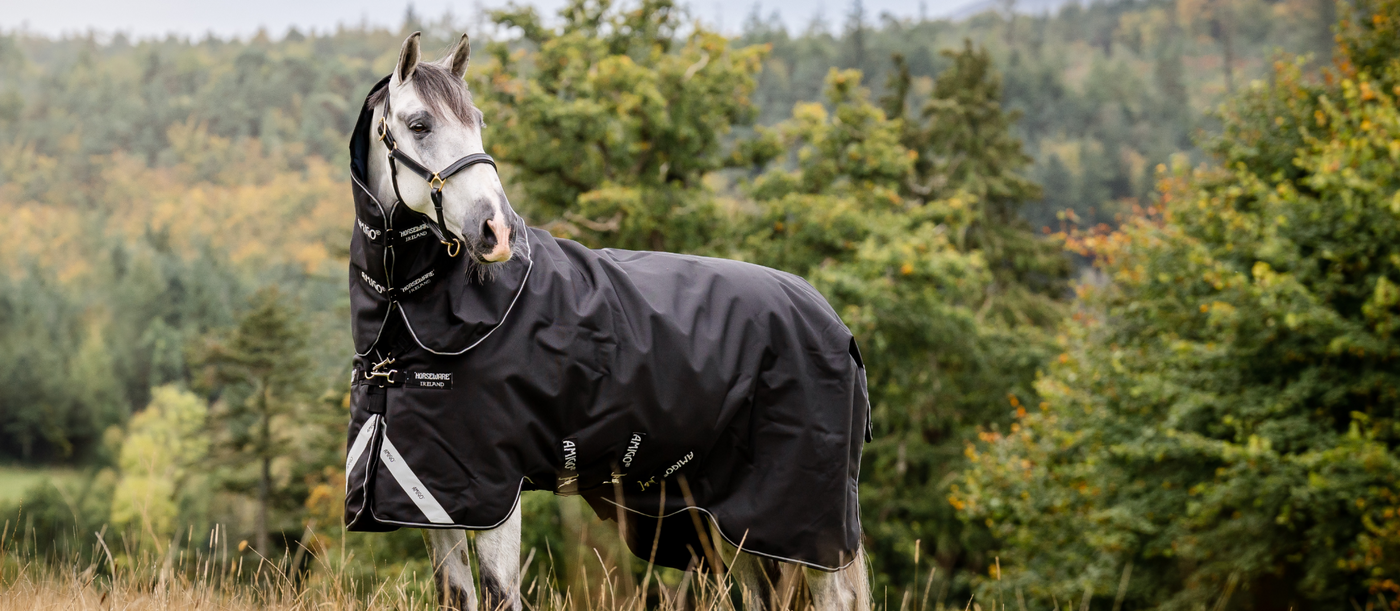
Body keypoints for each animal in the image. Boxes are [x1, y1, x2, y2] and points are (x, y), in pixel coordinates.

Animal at [345, 31, 871, 611]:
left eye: (477, 121)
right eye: (420, 125)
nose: (497, 231)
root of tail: (832, 320)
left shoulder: (493, 493)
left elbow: (501, 593)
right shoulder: (435, 500)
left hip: (801, 520)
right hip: (735, 522)